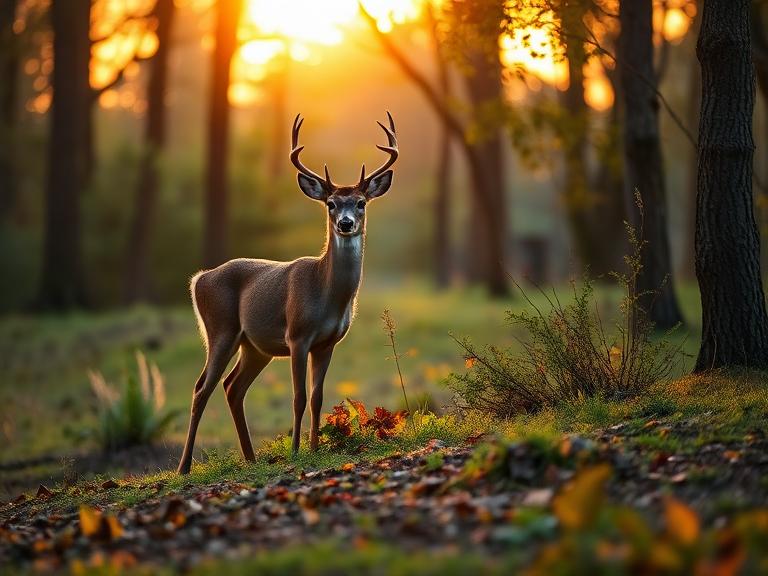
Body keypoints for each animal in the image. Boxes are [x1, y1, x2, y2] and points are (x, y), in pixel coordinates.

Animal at [177, 112, 398, 474]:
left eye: (361, 203)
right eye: (331, 203)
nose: (346, 223)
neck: (327, 294)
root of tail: (199, 279)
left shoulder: (327, 343)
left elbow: (317, 397)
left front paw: (315, 448)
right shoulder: (297, 336)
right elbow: (298, 397)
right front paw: (296, 451)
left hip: (254, 346)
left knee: (232, 387)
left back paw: (251, 458)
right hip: (221, 329)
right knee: (201, 388)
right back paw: (184, 467)